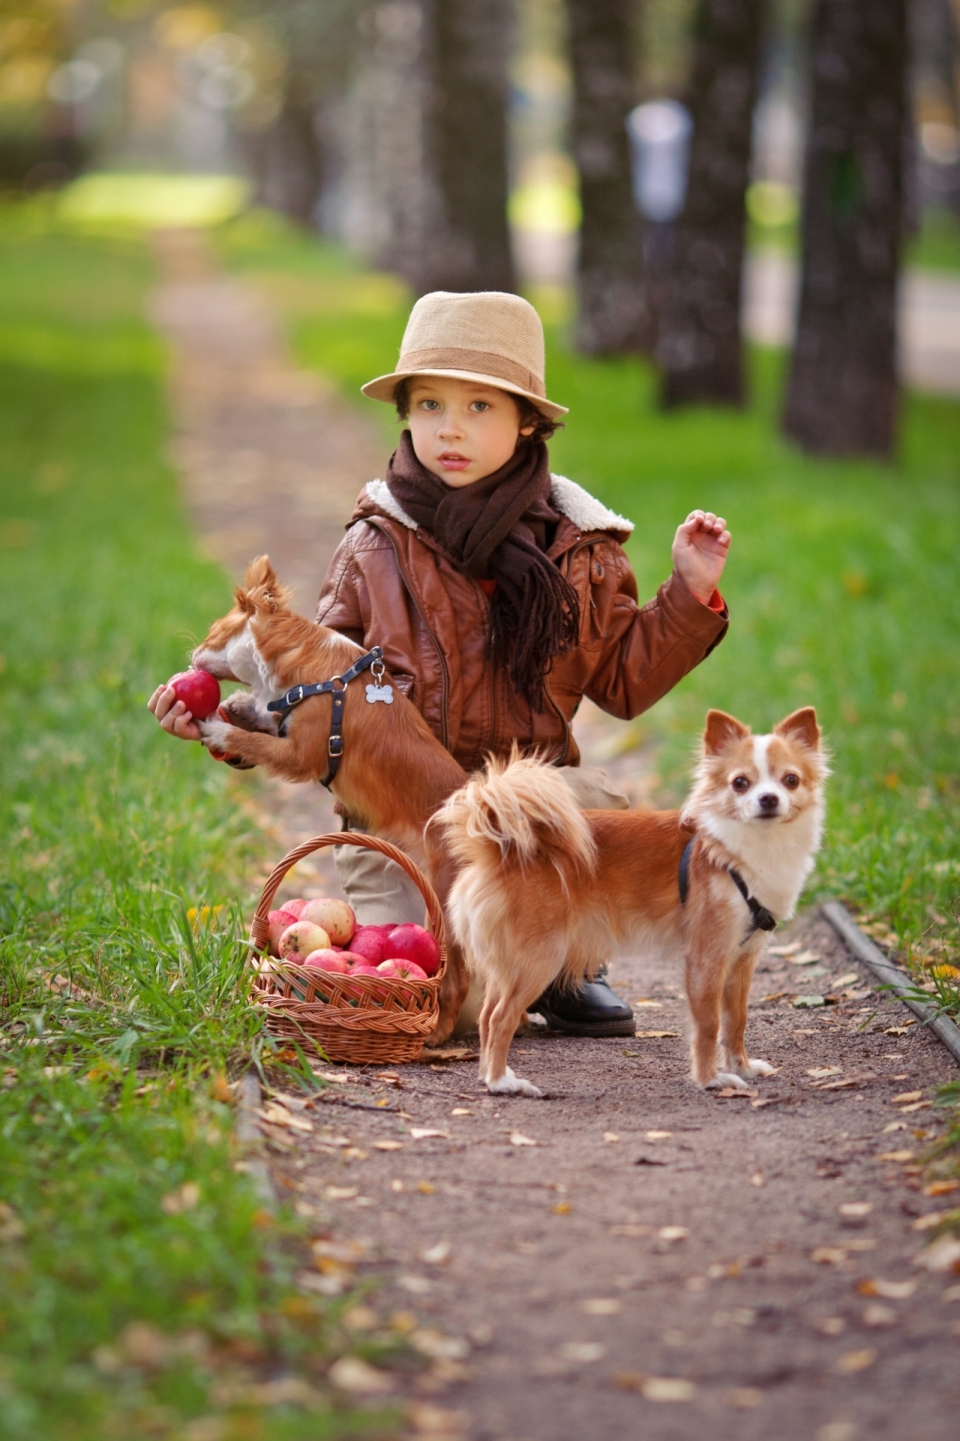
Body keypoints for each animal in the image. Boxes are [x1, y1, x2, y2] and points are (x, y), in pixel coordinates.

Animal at [429, 706, 824, 1089]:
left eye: (791, 780)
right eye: (740, 783)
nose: (768, 799)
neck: (743, 849)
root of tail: (501, 849)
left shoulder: (741, 958)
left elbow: (737, 1020)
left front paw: (742, 1067)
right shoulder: (707, 957)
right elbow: (709, 1024)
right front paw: (710, 1079)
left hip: (511, 965)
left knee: (486, 1017)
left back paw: (492, 1075)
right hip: (539, 960)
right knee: (499, 1019)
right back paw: (501, 1083)